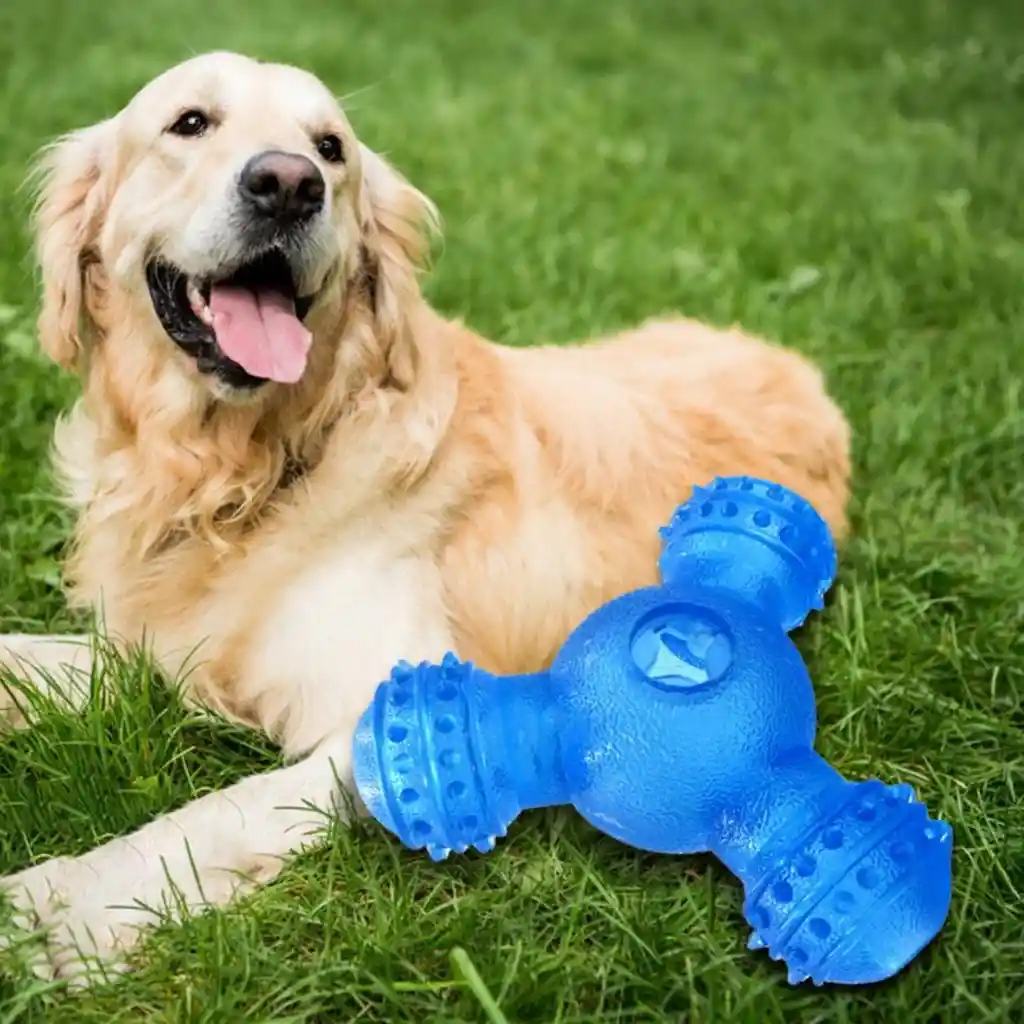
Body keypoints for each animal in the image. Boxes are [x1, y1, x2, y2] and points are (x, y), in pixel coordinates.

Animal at [0, 51, 847, 978]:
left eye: (329, 148)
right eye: (190, 123)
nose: (289, 186)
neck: (242, 476)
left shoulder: (384, 712)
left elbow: (208, 818)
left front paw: (53, 914)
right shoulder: (140, 650)